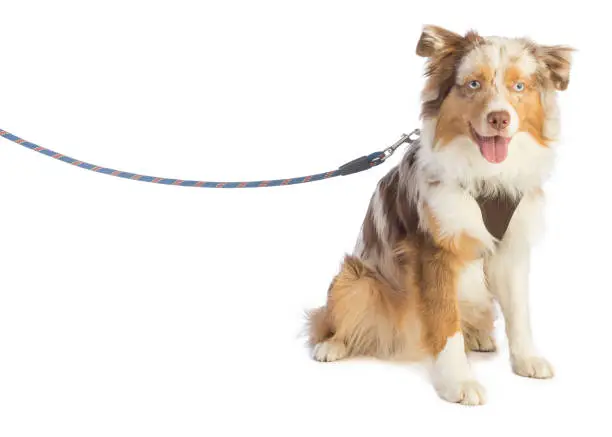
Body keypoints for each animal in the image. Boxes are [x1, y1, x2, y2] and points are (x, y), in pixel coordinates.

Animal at [308, 25, 572, 404]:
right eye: (473, 84)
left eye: (519, 87)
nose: (499, 118)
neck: (485, 177)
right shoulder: (435, 251)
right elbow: (446, 323)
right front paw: (458, 382)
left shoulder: (512, 248)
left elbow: (520, 313)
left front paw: (527, 360)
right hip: (357, 279)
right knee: (332, 318)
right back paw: (333, 345)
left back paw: (477, 336)